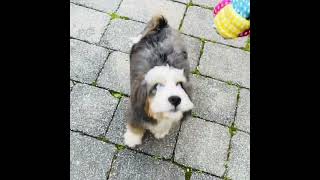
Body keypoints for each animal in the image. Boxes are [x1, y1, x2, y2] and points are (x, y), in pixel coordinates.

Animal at [124, 14, 192, 148]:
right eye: (157, 86)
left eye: (179, 84)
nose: (175, 99)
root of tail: (162, 25)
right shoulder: (137, 108)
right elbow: (136, 124)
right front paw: (132, 139)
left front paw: (161, 131)